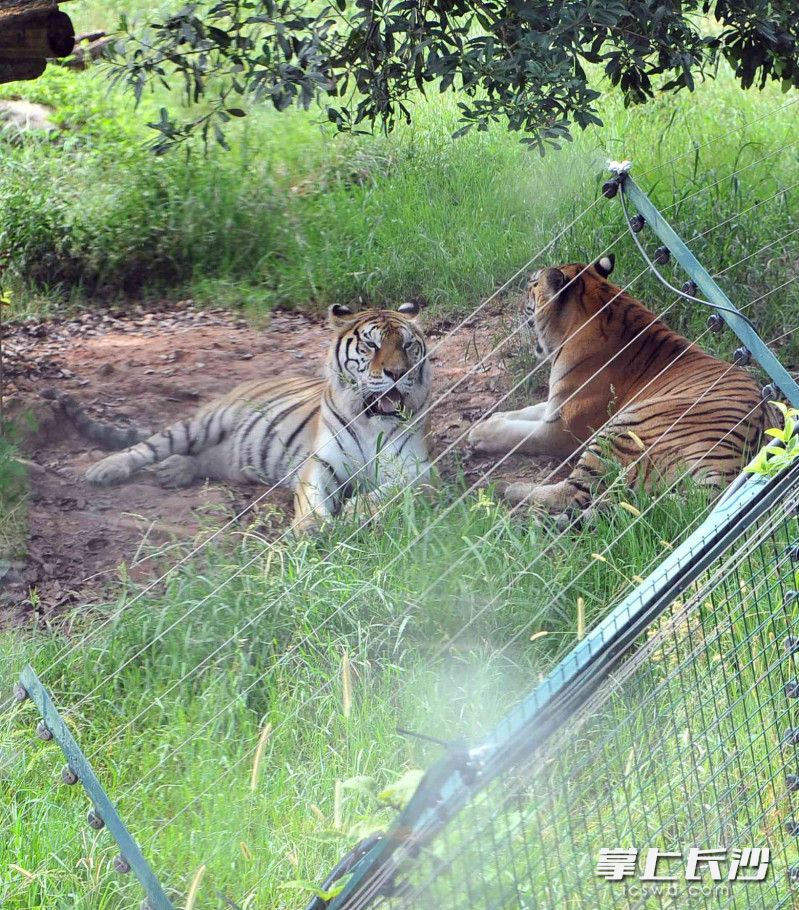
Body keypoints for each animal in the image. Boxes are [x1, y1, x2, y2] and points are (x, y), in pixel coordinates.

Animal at [51, 302, 432, 536]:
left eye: (408, 345)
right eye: (371, 345)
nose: (398, 373)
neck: (370, 421)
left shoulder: (420, 472)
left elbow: (388, 493)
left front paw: (352, 511)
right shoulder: (319, 464)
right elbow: (311, 500)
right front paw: (310, 527)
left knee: (206, 458)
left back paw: (175, 470)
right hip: (203, 423)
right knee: (150, 445)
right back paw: (107, 469)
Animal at [466, 255, 780, 512]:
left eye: (532, 283)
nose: (521, 298)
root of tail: (733, 463)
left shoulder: (562, 429)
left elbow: (520, 434)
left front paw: (480, 434)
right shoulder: (556, 405)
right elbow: (524, 412)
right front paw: (488, 420)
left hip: (622, 428)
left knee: (574, 493)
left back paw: (504, 489)